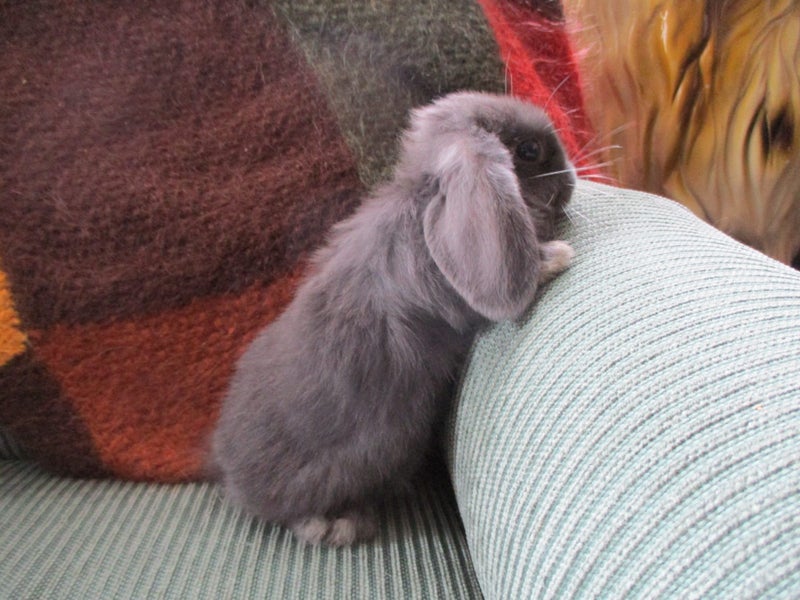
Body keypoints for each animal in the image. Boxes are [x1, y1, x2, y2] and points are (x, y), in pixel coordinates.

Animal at [210, 91, 576, 546]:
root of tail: (229, 475)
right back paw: (337, 525)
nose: (571, 184)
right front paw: (557, 256)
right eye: (529, 151)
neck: (421, 200)